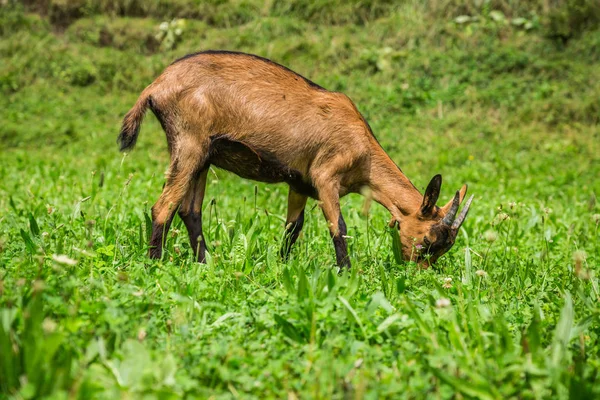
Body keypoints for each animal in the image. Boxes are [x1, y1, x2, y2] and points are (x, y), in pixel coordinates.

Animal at [118, 50, 474, 268]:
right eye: (427, 241)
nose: (417, 273)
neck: (364, 153)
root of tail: (157, 84)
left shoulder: (299, 183)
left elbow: (293, 227)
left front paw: (283, 266)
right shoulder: (325, 176)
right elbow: (338, 226)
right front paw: (346, 273)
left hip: (203, 156)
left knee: (190, 210)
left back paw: (205, 263)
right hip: (188, 143)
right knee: (163, 206)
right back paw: (155, 264)